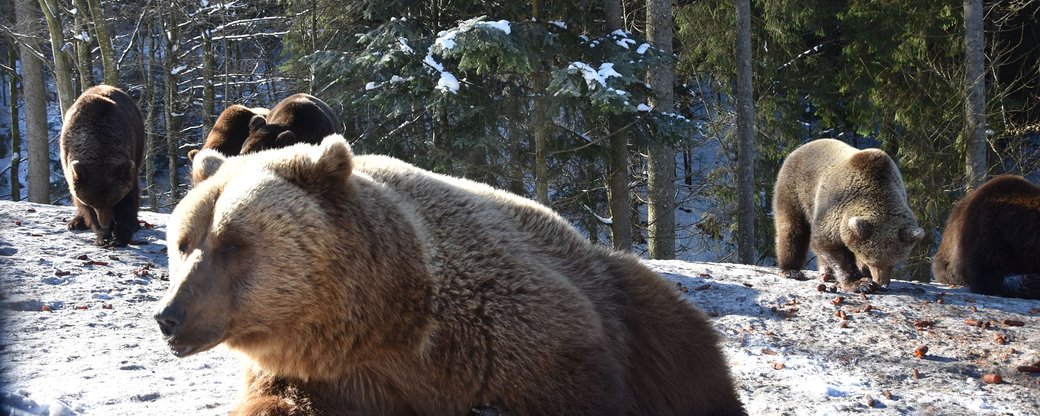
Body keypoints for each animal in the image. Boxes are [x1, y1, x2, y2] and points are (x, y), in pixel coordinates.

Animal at [59, 84, 144, 247]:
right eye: (94, 204)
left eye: (113, 201)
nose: (105, 225)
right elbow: (83, 205)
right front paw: (102, 236)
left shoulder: (128, 164)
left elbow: (129, 199)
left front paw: (121, 235)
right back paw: (76, 222)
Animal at [153, 136, 744, 416]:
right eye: (183, 243)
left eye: (233, 244)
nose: (169, 316)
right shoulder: (332, 375)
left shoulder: (517, 333)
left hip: (634, 306)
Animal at [773, 139, 927, 293]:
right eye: (872, 261)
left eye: (893, 263)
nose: (882, 284)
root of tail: (800, 148)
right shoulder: (834, 208)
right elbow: (827, 243)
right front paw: (860, 283)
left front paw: (864, 276)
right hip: (795, 190)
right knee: (792, 228)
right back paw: (791, 270)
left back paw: (826, 274)